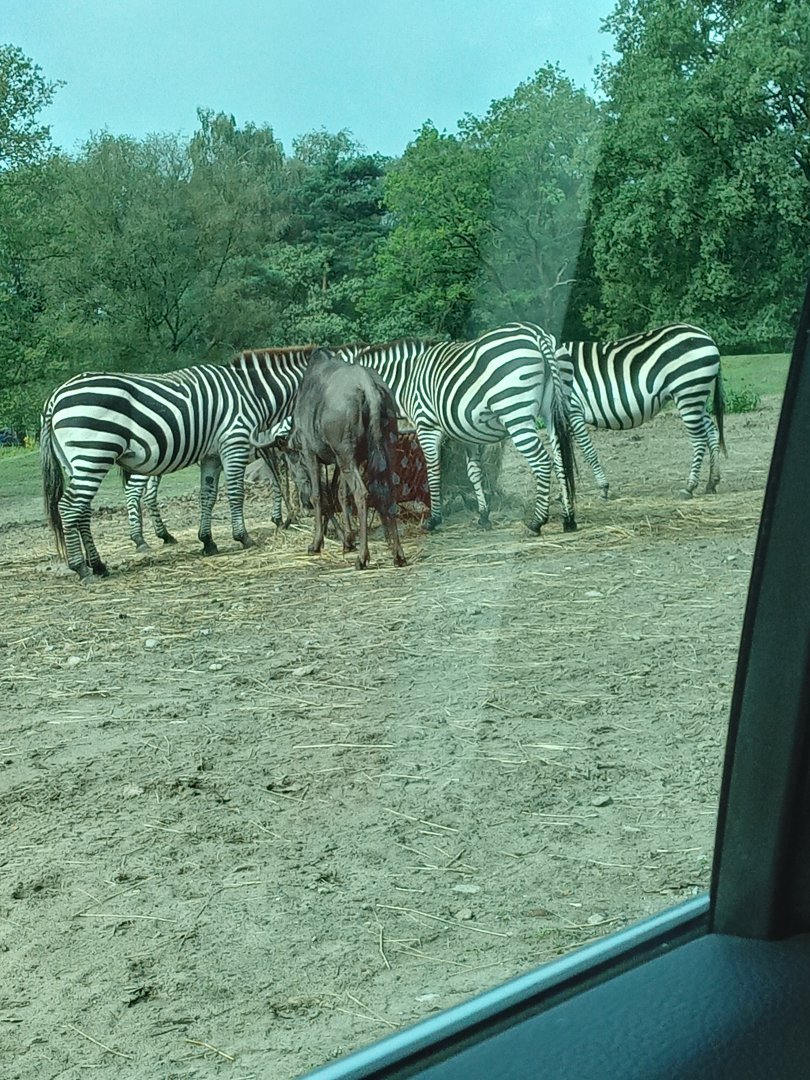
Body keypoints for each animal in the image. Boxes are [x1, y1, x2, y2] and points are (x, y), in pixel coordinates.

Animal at [40, 347, 317, 580]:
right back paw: (82, 566)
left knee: (82, 509)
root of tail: (55, 396)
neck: (252, 393)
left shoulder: (213, 455)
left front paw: (208, 542)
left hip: (77, 461)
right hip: (94, 453)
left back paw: (99, 564)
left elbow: (208, 495)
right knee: (71, 506)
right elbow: (240, 492)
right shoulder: (235, 442)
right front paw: (246, 536)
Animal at [336, 323, 577, 534]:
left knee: (542, 462)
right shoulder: (467, 433)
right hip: (552, 413)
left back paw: (537, 522)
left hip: (516, 414)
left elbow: (433, 470)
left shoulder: (427, 426)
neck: (406, 380)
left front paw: (434, 519)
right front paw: (483, 516)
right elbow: (474, 472)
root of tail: (537, 334)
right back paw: (569, 519)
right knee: (560, 461)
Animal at [555, 324, 726, 499]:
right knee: (712, 432)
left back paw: (689, 487)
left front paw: (603, 488)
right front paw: (563, 494)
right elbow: (558, 456)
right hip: (698, 395)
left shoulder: (573, 411)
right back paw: (712, 482)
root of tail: (705, 335)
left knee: (699, 439)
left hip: (688, 393)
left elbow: (586, 451)